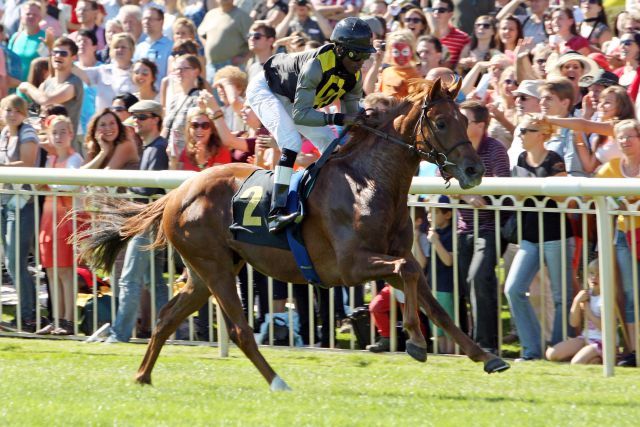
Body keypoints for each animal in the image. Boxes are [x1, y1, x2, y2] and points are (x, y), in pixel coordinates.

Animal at [80, 78, 510, 392]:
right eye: (441, 123)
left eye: (464, 120)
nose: (474, 170)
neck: (370, 182)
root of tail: (177, 193)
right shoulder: (351, 266)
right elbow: (406, 270)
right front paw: (417, 344)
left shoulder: (392, 257)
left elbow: (431, 297)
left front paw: (486, 356)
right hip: (214, 266)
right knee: (239, 329)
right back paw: (278, 382)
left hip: (207, 270)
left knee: (168, 315)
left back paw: (143, 375)